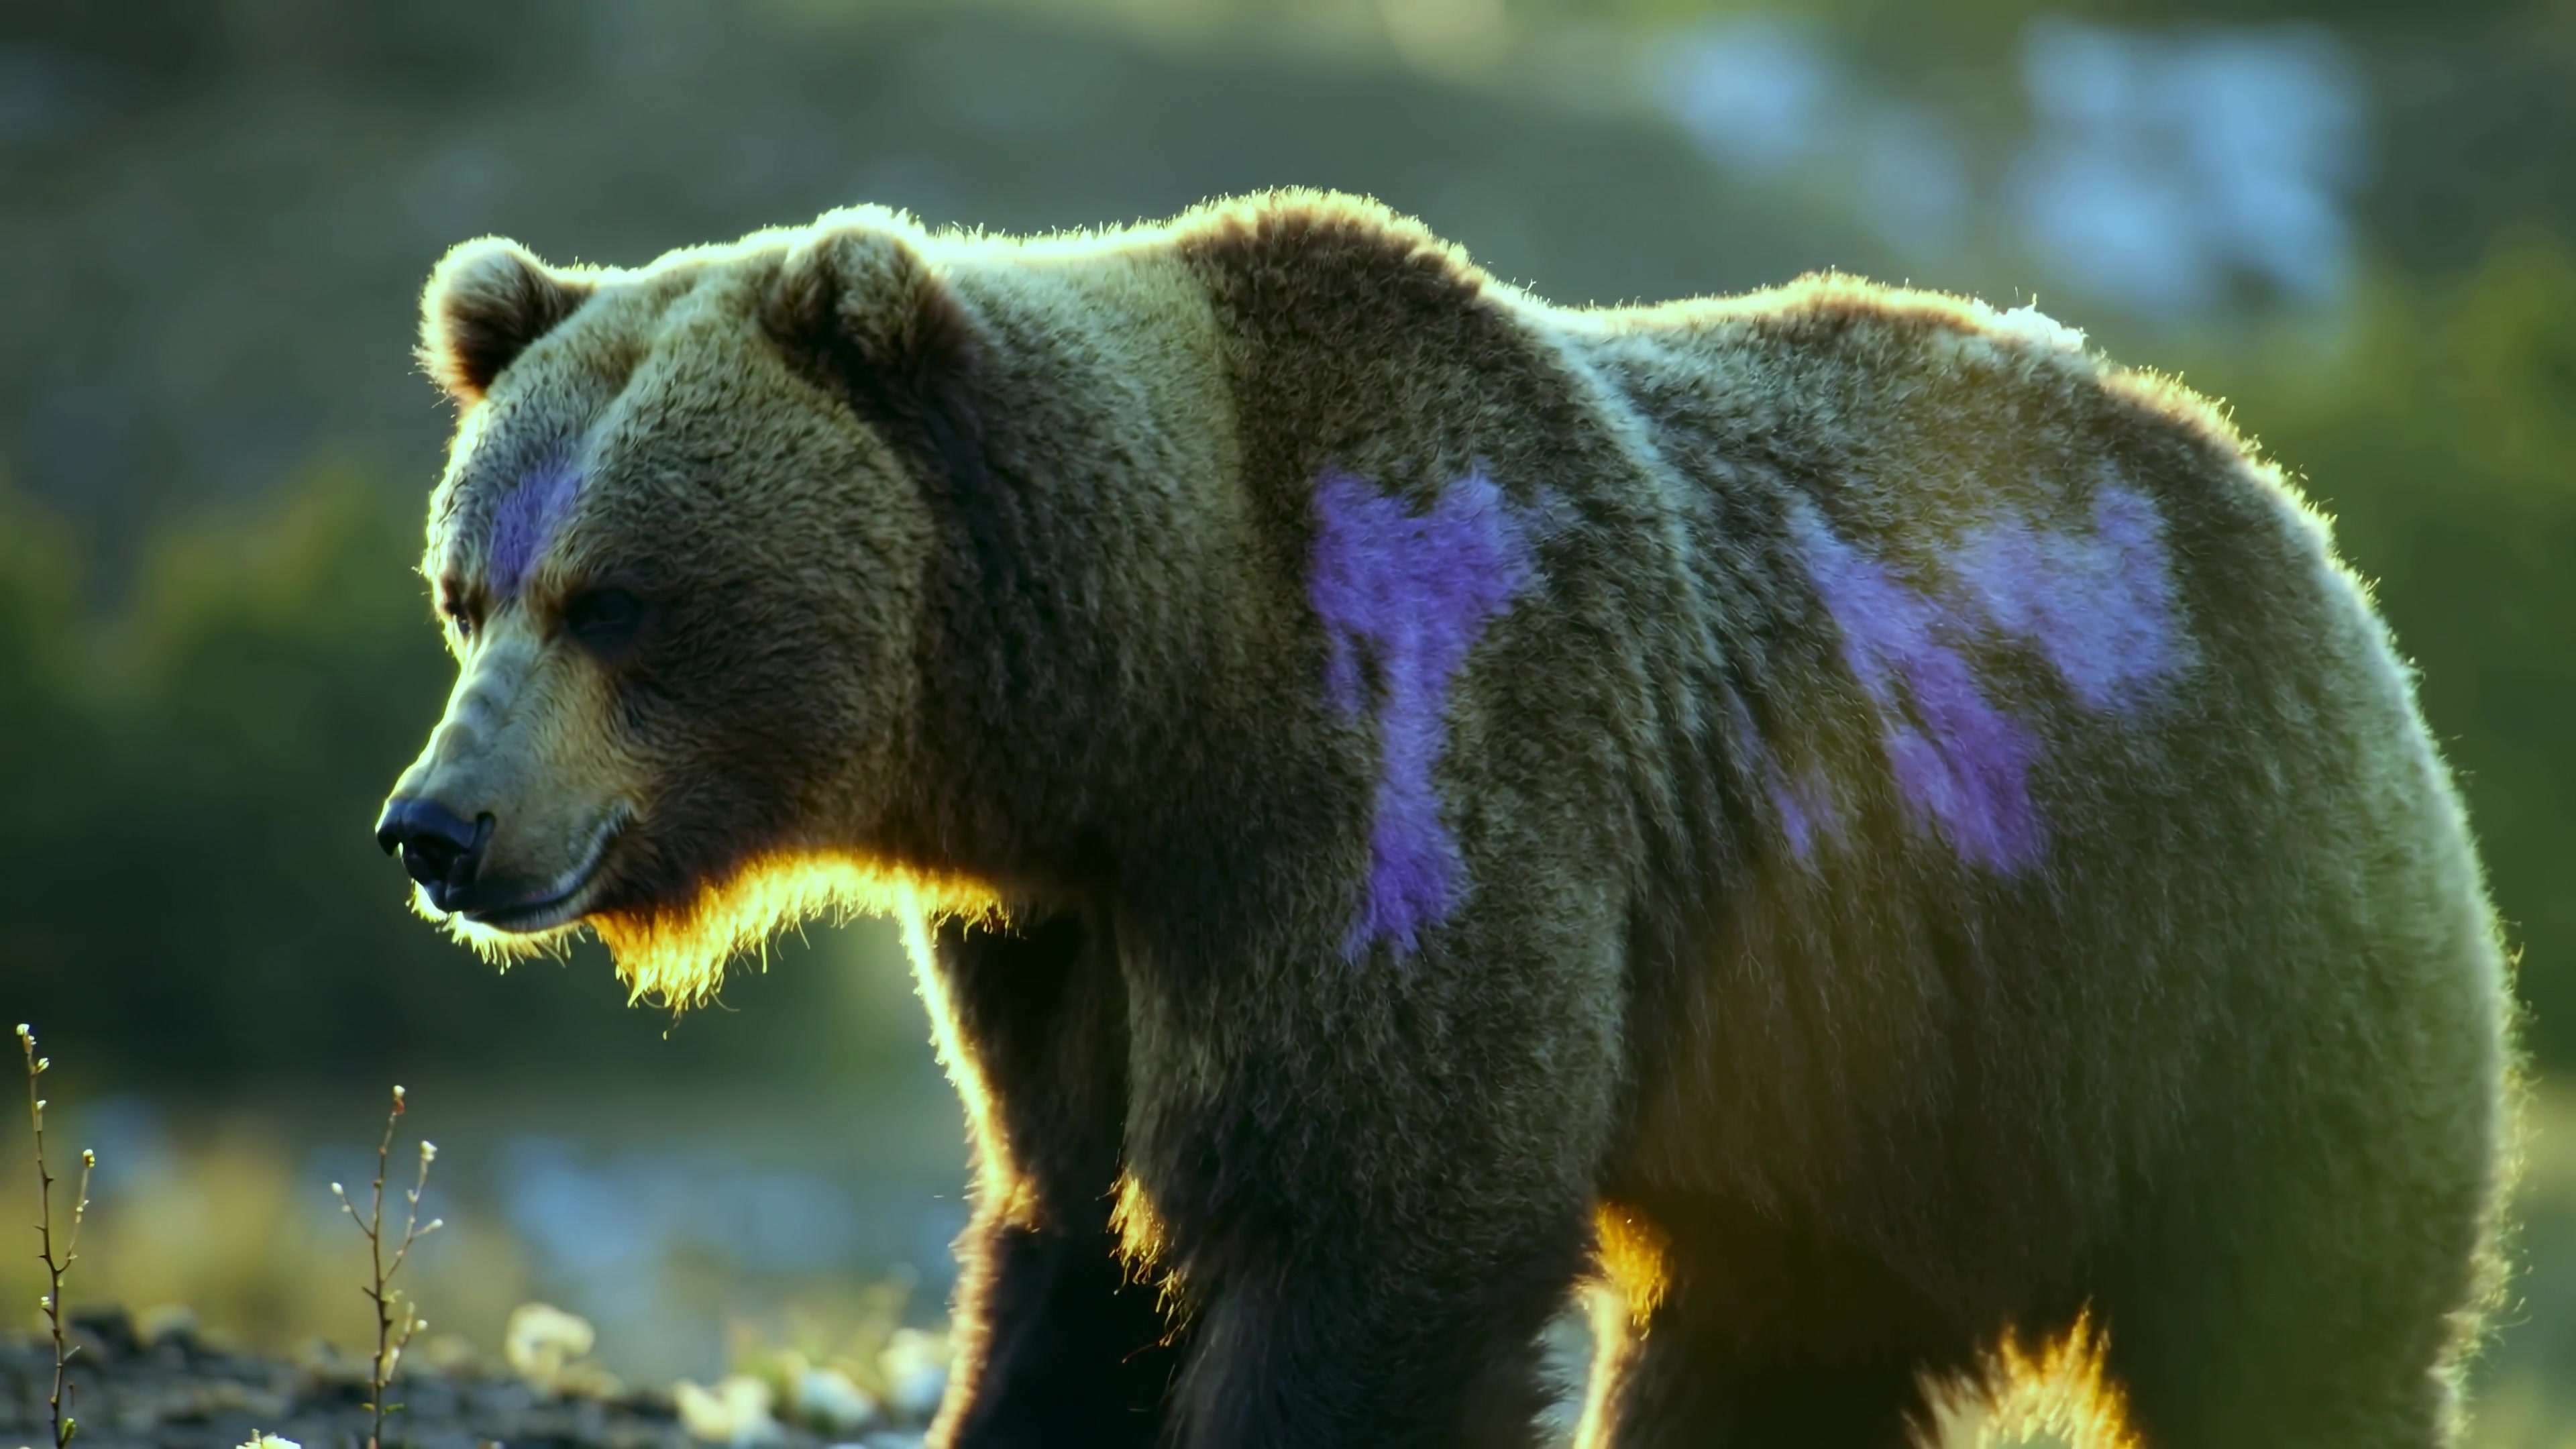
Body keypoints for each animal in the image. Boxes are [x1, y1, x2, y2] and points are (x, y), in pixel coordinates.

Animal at [374, 191, 2513, 1449]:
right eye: (470, 588)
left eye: (617, 598)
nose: (436, 823)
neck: (1143, 701)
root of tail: (2273, 497)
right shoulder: (1070, 939)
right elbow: (1077, 1240)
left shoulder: (1408, 768)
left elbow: (1378, 1220)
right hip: (1872, 1084)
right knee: (1771, 1345)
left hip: (2204, 949)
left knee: (2299, 1320)